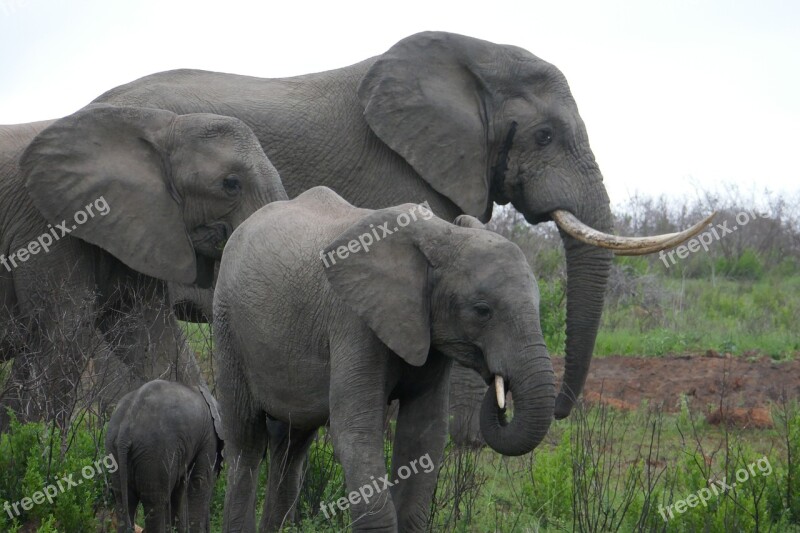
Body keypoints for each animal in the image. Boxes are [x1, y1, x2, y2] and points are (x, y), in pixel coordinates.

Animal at [105, 378, 225, 532]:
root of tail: (125, 429)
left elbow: (179, 488)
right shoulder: (209, 436)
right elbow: (199, 481)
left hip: (114, 449)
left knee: (123, 501)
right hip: (153, 453)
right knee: (154, 504)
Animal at [214, 186, 556, 528]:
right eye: (482, 310)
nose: (500, 385)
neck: (443, 235)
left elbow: (424, 435)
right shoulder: (353, 321)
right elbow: (356, 432)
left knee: (291, 444)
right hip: (228, 327)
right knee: (246, 441)